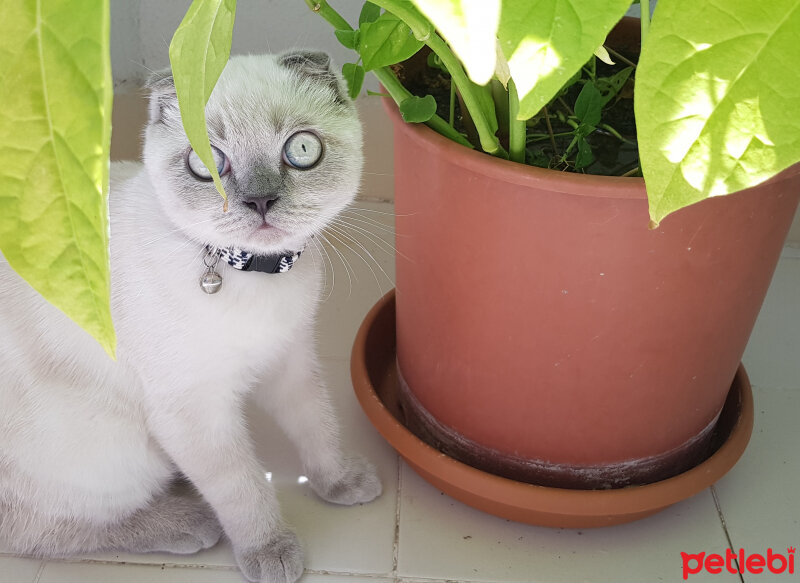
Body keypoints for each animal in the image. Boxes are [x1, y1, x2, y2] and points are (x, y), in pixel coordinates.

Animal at [0, 52, 382, 583]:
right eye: (206, 165)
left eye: (302, 150)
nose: (260, 201)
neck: (255, 274)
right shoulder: (195, 410)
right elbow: (241, 486)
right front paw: (270, 552)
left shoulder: (289, 361)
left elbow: (319, 428)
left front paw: (341, 482)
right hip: (119, 448)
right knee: (38, 532)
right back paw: (189, 521)